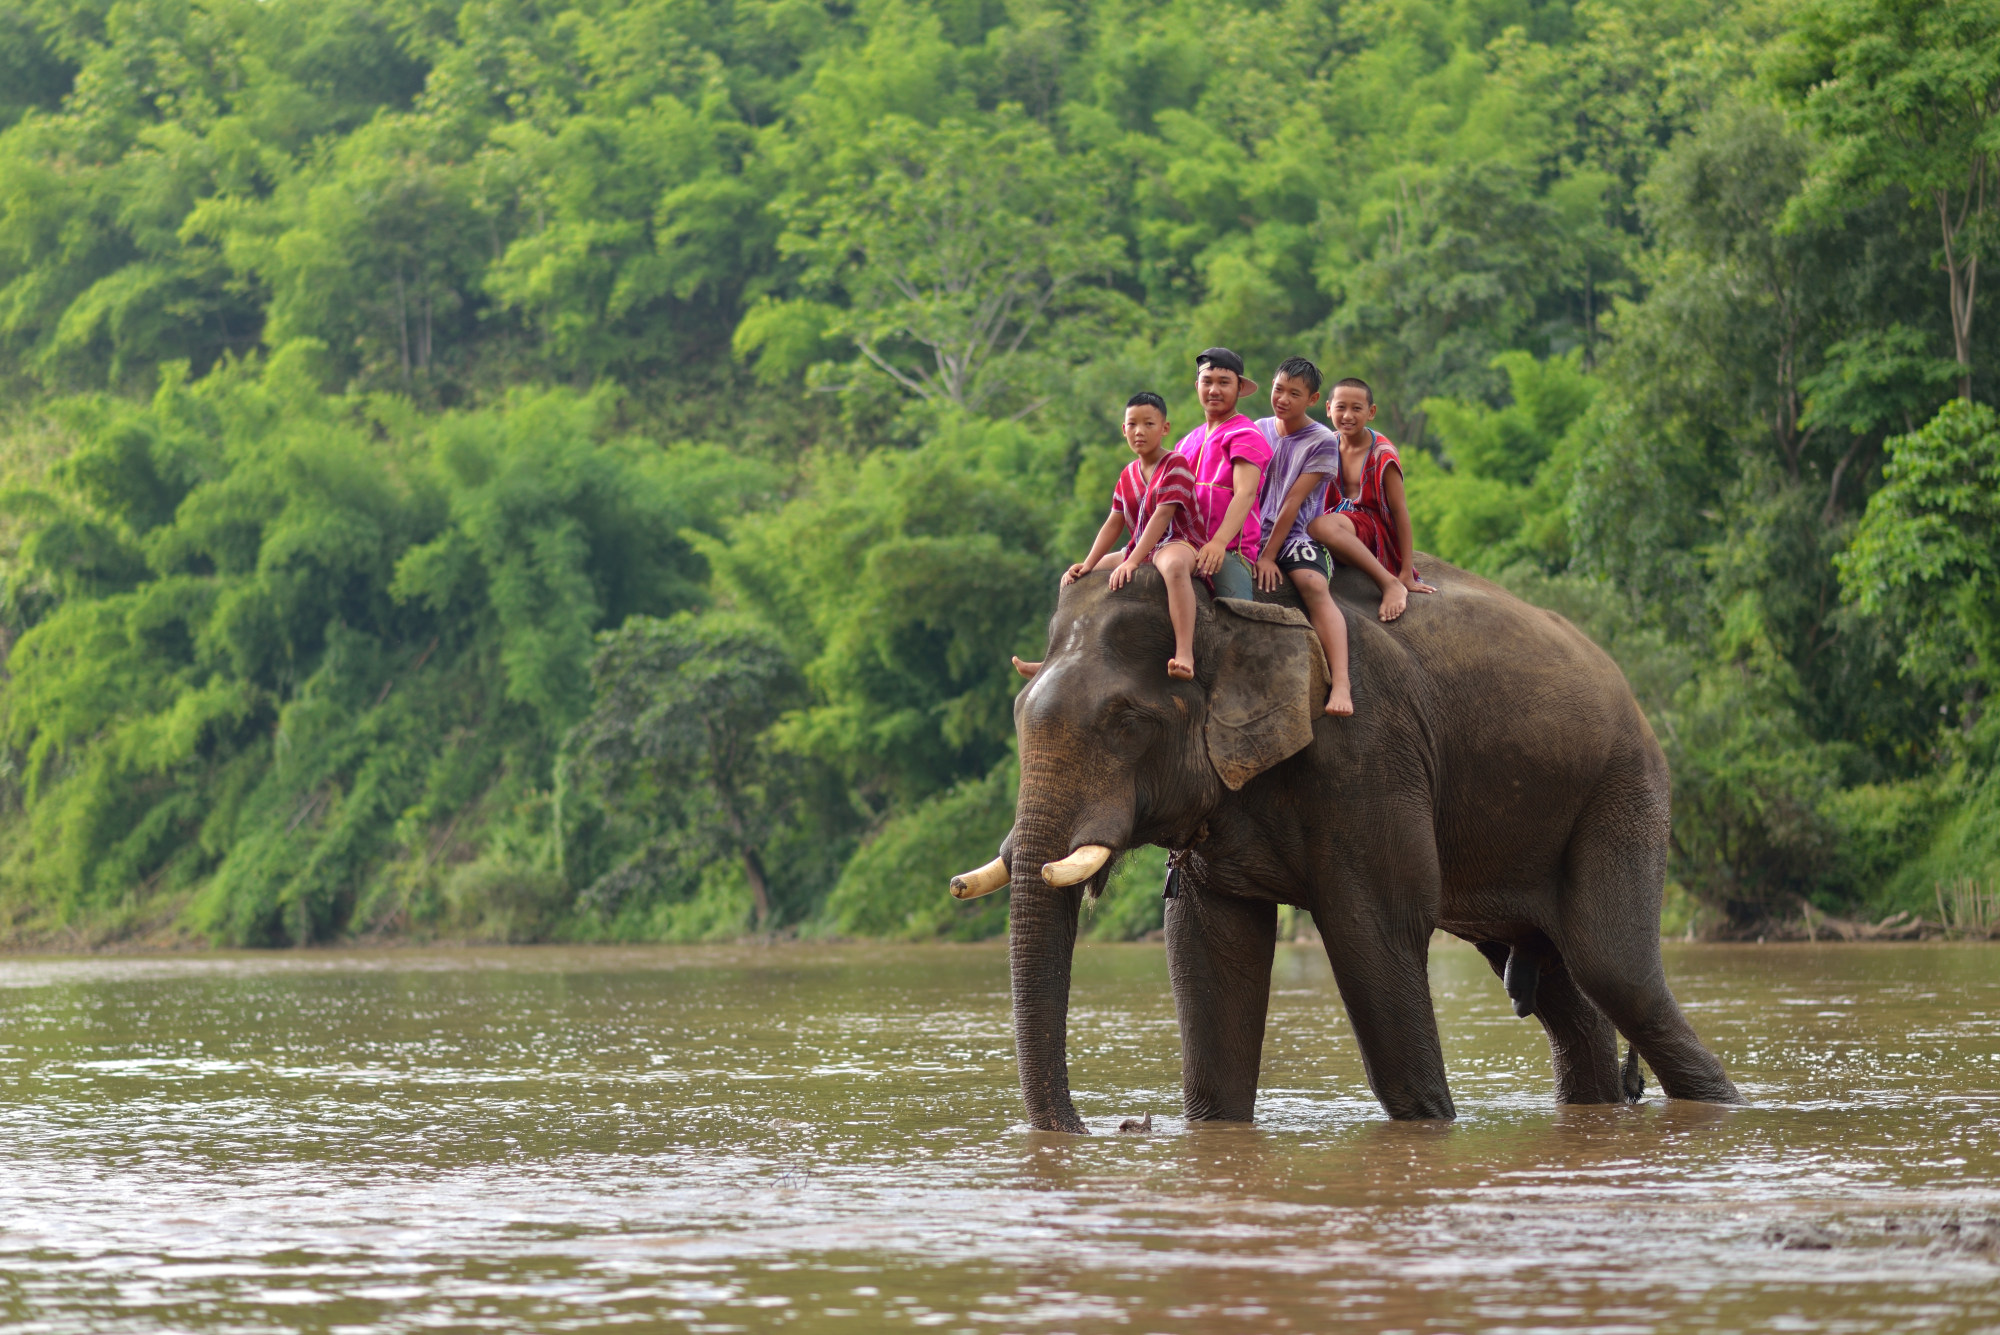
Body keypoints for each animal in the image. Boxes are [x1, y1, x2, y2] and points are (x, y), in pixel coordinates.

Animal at [948, 559, 1736, 1135]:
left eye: (1125, 720)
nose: (1104, 1127)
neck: (1231, 612)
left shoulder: (1367, 749)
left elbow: (1374, 934)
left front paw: (1429, 1125)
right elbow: (1208, 944)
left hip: (1623, 788)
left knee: (1614, 969)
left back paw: (1720, 1103)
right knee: (1560, 988)